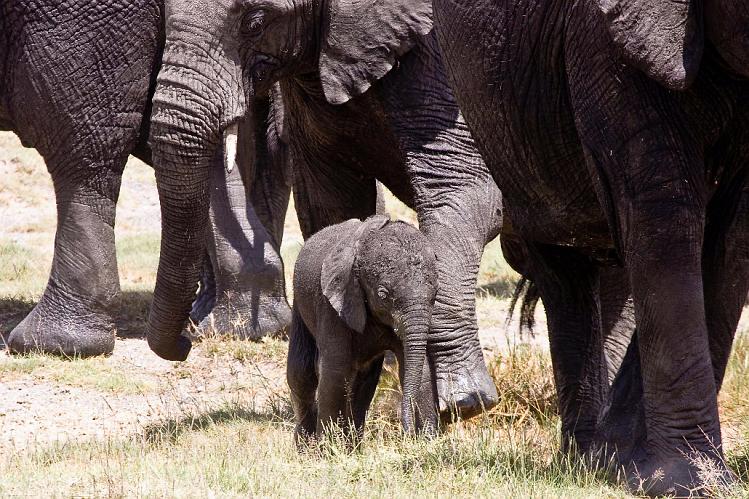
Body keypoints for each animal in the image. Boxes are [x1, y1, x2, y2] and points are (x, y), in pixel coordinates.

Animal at [286, 215, 438, 442]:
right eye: (383, 295)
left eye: (435, 296)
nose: (408, 433)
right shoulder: (335, 304)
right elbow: (336, 372)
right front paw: (330, 448)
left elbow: (420, 369)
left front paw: (429, 442)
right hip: (299, 300)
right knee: (301, 372)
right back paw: (306, 446)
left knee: (362, 383)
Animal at [432, 0, 748, 496]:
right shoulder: (602, 40)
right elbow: (662, 207)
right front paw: (686, 482)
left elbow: (731, 236)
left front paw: (676, 475)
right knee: (563, 270)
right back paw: (590, 459)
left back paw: (613, 455)